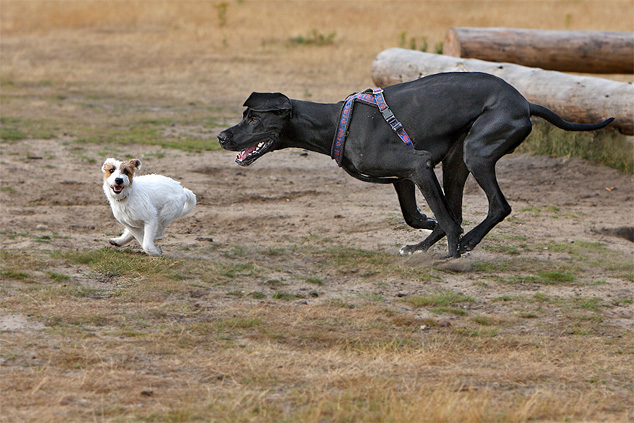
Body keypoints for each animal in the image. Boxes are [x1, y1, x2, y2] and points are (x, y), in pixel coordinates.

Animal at [218, 72, 612, 258]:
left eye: (254, 118)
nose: (222, 136)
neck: (336, 123)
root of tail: (526, 103)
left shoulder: (418, 166)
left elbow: (445, 219)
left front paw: (449, 254)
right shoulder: (404, 179)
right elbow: (422, 215)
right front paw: (427, 232)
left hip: (477, 152)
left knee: (497, 207)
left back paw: (464, 245)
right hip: (456, 160)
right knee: (458, 208)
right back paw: (432, 245)